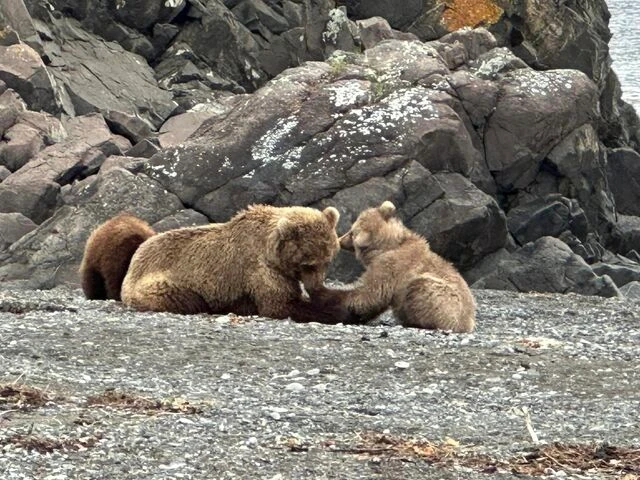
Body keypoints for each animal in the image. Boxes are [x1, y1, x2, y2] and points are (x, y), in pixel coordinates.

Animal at [120, 204, 350, 324]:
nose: (316, 286)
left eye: (327, 261)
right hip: (161, 283)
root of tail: (134, 261)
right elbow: (280, 304)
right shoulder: (260, 268)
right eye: (308, 264)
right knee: (186, 299)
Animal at [308, 201, 476, 332]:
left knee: (422, 288)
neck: (387, 246)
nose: (340, 239)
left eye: (351, 232)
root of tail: (468, 323)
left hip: (446, 300)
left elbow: (370, 294)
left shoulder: (390, 265)